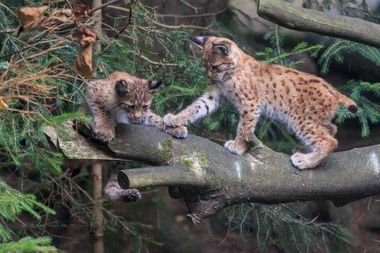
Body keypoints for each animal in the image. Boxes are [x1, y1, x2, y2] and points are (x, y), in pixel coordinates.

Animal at [163, 36, 356, 170]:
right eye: (205, 65)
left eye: (214, 66)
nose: (209, 77)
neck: (230, 73)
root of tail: (333, 89)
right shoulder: (215, 95)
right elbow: (196, 107)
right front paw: (175, 119)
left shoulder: (251, 102)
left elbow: (244, 126)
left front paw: (238, 146)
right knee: (332, 129)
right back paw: (305, 150)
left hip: (300, 119)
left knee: (330, 141)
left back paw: (305, 161)